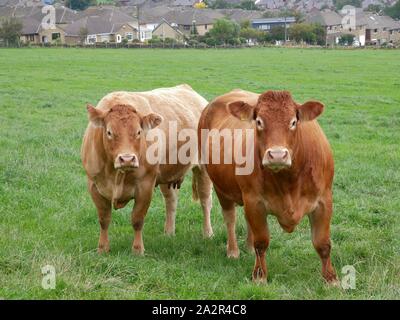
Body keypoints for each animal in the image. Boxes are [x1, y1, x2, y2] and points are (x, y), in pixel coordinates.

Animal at [82, 85, 214, 255]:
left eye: (139, 132)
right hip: (167, 175)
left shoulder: (145, 185)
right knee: (171, 201)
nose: (127, 159)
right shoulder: (94, 185)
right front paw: (102, 248)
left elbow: (137, 219)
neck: (116, 175)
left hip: (203, 169)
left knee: (206, 201)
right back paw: (169, 232)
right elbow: (104, 219)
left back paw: (208, 233)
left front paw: (138, 249)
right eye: (109, 132)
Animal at [198, 89, 336, 284]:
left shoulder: (324, 201)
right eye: (259, 121)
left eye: (293, 122)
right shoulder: (254, 202)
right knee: (230, 218)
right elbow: (262, 242)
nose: (277, 155)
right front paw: (259, 276)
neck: (289, 181)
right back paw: (233, 250)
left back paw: (248, 248)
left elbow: (323, 243)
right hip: (220, 187)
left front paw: (331, 279)